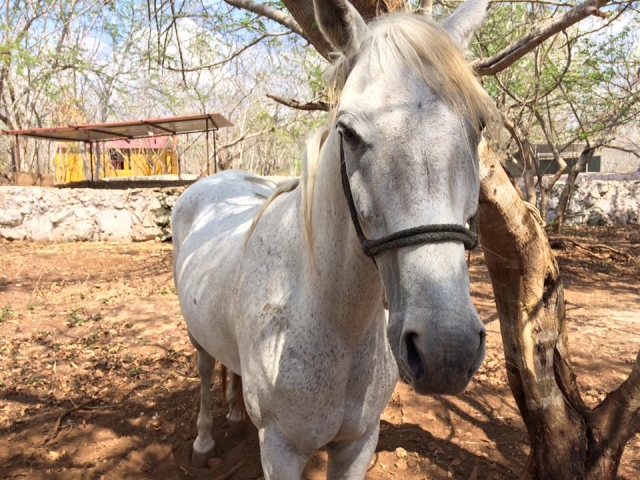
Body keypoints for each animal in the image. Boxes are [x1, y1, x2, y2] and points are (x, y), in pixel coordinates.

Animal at [171, 0, 493, 477]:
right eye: (349, 133)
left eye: (479, 126)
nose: (446, 350)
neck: (335, 321)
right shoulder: (281, 449)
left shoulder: (359, 443)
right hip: (197, 339)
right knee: (206, 370)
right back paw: (205, 438)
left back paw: (233, 410)